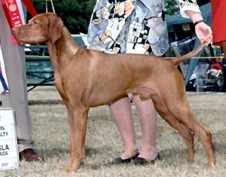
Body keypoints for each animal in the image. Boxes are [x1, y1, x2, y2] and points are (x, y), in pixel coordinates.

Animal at [11, 13, 215, 172]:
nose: (13, 30)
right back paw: (190, 162)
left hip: (176, 103)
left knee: (204, 132)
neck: (68, 58)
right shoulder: (70, 109)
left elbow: (78, 144)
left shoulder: (79, 109)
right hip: (163, 107)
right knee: (188, 133)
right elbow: (72, 142)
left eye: (35, 23)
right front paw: (69, 166)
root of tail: (171, 62)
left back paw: (210, 164)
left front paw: (74, 167)